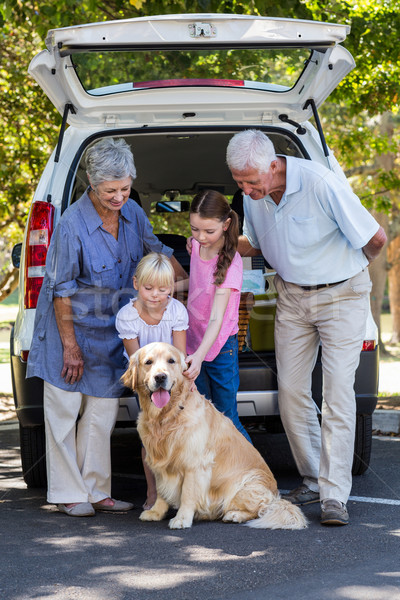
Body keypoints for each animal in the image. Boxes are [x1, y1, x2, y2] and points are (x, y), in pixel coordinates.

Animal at [123, 342, 308, 528]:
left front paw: (182, 518)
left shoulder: (195, 464)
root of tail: (276, 495)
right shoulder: (160, 462)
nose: (160, 377)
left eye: (171, 361)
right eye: (148, 362)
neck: (168, 416)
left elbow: (188, 494)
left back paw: (235, 515)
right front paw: (156, 512)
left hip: (244, 484)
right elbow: (161, 490)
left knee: (261, 508)